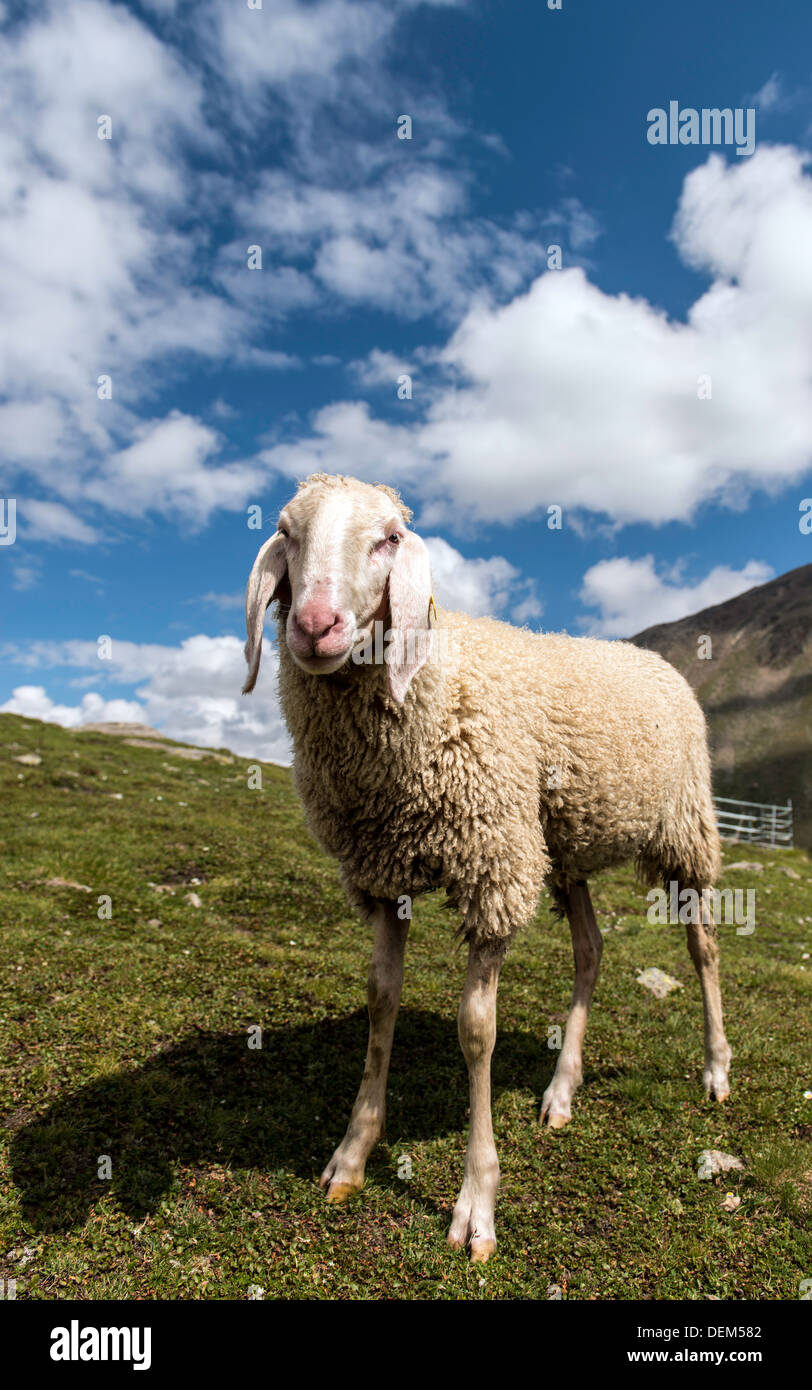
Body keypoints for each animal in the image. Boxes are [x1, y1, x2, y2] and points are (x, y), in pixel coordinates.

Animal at [242, 472, 731, 1262]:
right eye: (287, 532)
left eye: (389, 538)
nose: (314, 626)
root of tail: (656, 660)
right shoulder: (382, 874)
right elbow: (381, 1000)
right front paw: (352, 1155)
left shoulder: (492, 869)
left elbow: (477, 1032)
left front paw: (477, 1204)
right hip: (563, 846)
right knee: (590, 950)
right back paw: (562, 1090)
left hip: (684, 832)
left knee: (704, 948)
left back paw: (717, 1068)